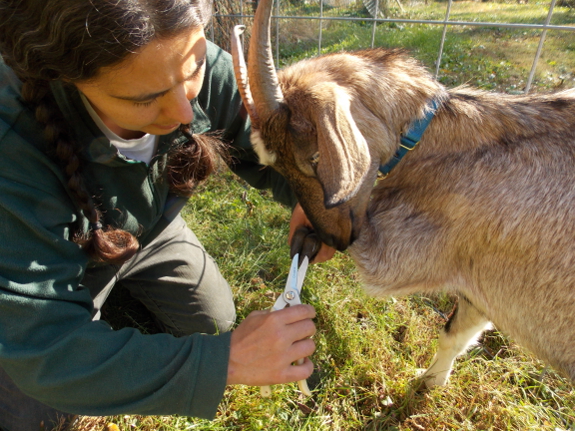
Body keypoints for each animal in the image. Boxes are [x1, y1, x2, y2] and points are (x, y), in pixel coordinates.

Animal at [232, 0, 575, 388]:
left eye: (315, 158)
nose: (332, 238)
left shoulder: (409, 253)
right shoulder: (483, 289)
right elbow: (455, 333)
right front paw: (430, 383)